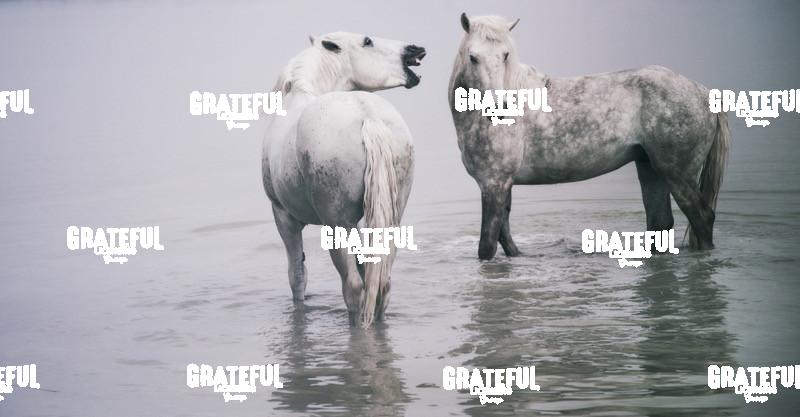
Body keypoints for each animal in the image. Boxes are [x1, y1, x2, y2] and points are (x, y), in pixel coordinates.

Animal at [263, 31, 426, 327]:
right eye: (368, 41)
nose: (415, 50)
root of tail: (368, 118)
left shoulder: (283, 217)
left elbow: (297, 277)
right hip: (391, 220)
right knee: (381, 283)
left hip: (336, 226)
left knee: (353, 287)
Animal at [449, 14, 731, 260]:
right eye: (473, 57)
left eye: (505, 55)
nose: (498, 108)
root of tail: (702, 91)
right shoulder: (500, 184)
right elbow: (505, 239)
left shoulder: (494, 184)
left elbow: (487, 246)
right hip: (651, 168)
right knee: (660, 223)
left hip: (678, 174)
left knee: (702, 218)